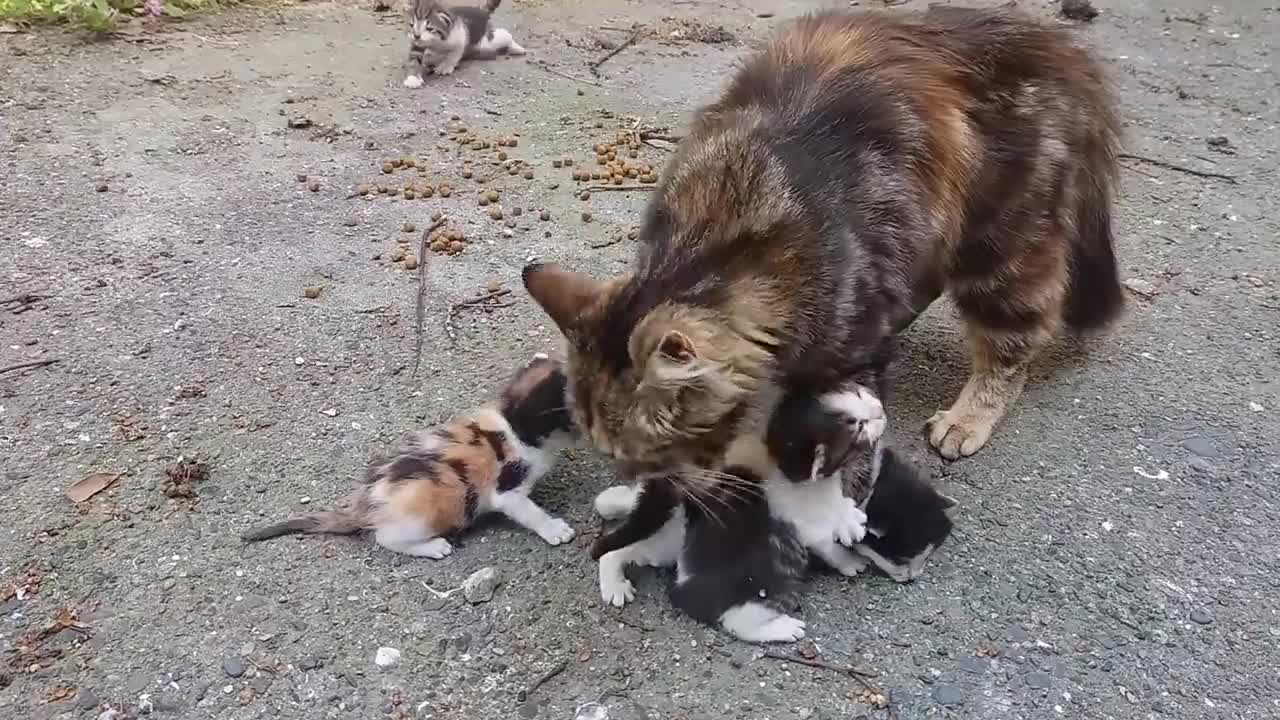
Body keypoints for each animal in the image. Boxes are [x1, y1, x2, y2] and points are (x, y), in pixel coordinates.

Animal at [239, 353, 576, 556]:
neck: (510, 423)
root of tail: (367, 504)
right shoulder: (507, 486)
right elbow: (527, 511)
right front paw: (554, 529)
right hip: (422, 515)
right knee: (385, 538)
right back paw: (433, 547)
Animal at [519, 8, 1121, 486]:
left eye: (646, 453)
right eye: (612, 455)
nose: (635, 480)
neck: (723, 242)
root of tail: (1052, 43)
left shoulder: (853, 349)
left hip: (1001, 245)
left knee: (1017, 338)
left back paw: (970, 414)